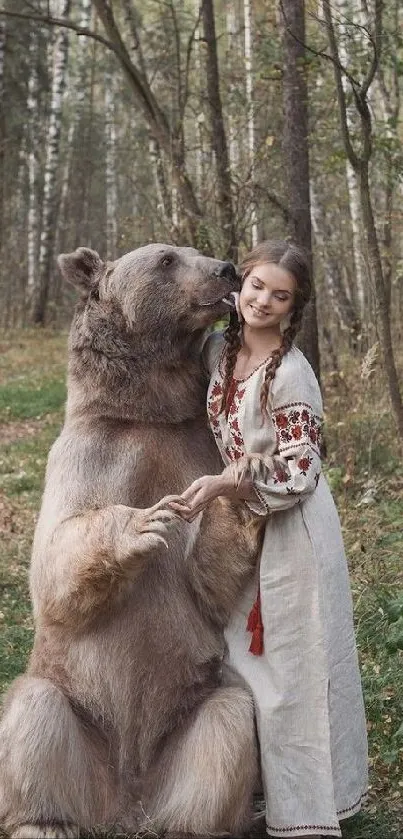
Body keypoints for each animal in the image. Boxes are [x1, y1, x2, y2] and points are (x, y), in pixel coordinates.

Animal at [0, 244, 260, 839]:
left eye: (191, 252)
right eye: (166, 258)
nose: (226, 268)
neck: (146, 413)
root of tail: (125, 804)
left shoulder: (191, 448)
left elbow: (210, 580)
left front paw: (236, 490)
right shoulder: (87, 455)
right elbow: (53, 561)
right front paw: (143, 524)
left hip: (189, 713)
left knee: (229, 724)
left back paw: (191, 826)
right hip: (77, 712)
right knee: (34, 714)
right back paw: (43, 822)